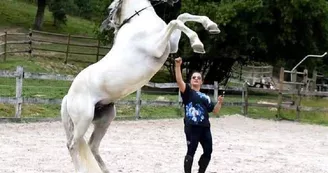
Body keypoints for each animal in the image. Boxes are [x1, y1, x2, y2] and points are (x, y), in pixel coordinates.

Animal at [60, 0, 220, 172]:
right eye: (110, 9)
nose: (106, 25)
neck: (139, 19)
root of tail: (68, 96)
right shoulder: (157, 47)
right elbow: (174, 21)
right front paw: (198, 43)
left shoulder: (172, 45)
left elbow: (181, 17)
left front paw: (211, 26)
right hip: (84, 120)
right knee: (72, 145)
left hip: (105, 119)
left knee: (92, 146)